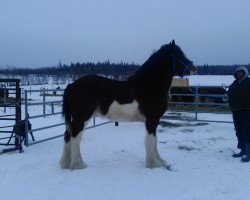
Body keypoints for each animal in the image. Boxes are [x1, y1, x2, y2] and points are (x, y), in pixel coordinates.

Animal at [59, 39, 196, 170]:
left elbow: (155, 141)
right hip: (82, 117)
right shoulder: (151, 120)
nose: (194, 68)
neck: (148, 86)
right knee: (75, 137)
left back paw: (65, 163)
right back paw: (78, 165)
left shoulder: (155, 120)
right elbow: (150, 141)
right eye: (179, 54)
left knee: (68, 135)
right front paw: (153, 164)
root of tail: (71, 85)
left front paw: (160, 161)